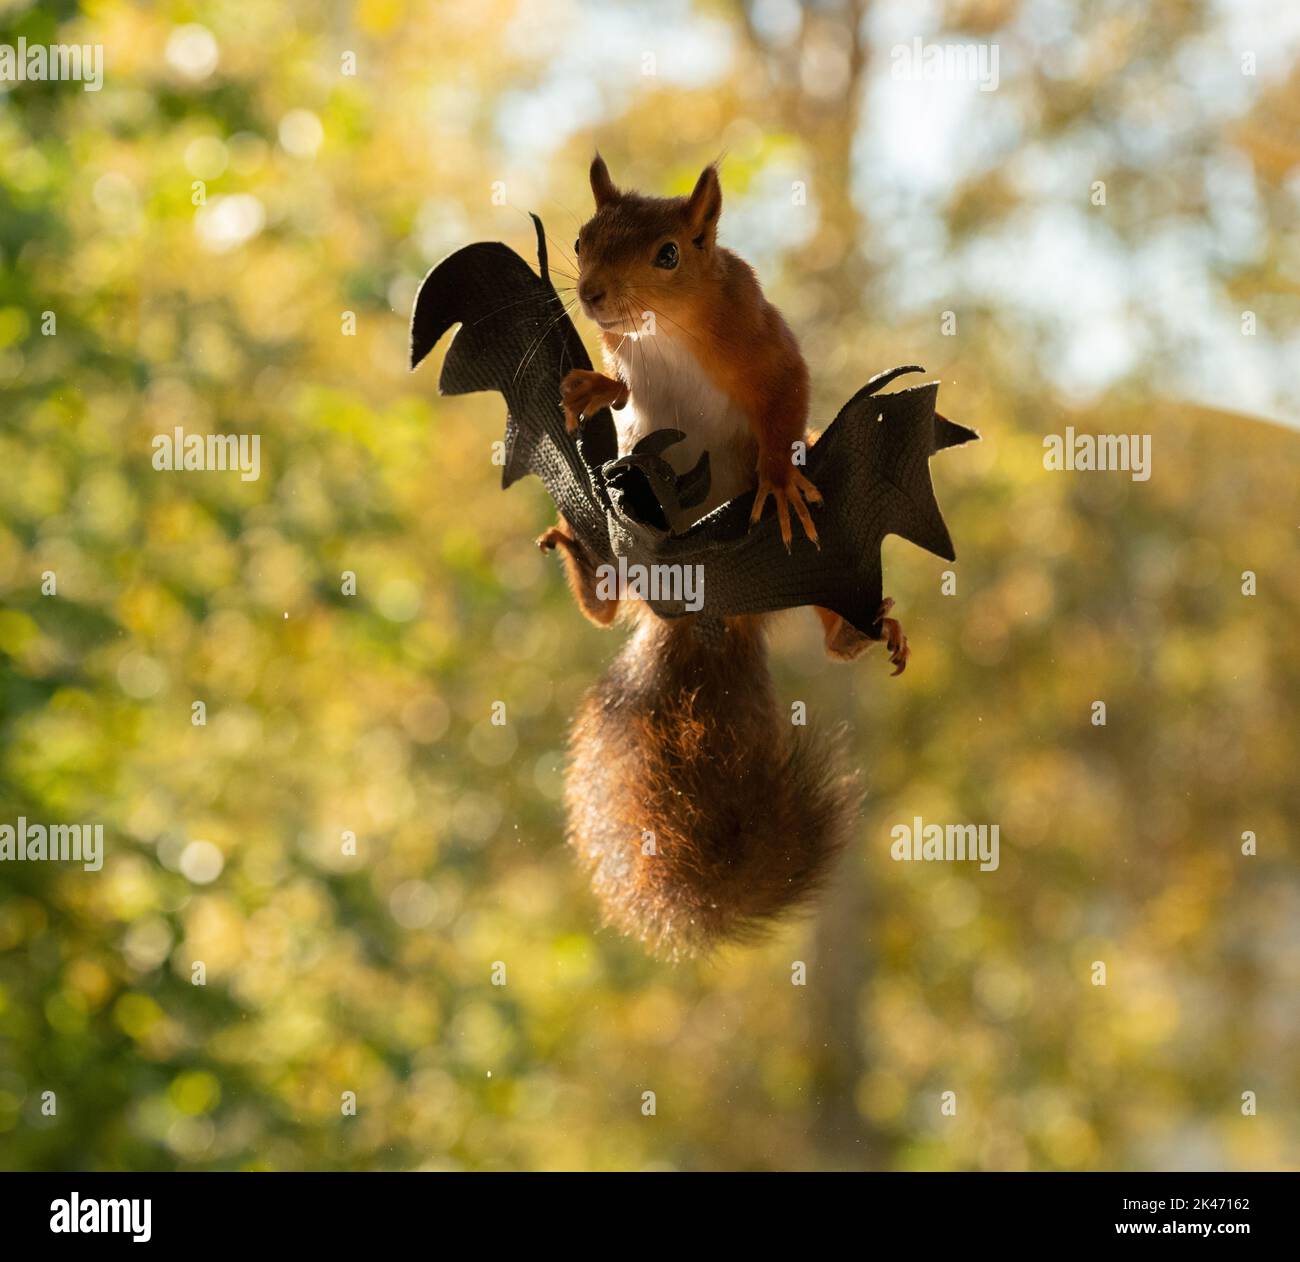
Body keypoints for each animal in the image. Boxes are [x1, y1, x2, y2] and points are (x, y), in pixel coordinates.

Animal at [538, 155, 908, 957]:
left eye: (669, 254)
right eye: (580, 240)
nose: (593, 295)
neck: (664, 333)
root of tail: (711, 610)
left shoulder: (763, 337)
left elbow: (787, 398)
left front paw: (780, 479)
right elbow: (619, 391)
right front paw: (590, 386)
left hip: (815, 560)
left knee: (830, 608)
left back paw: (858, 631)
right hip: (628, 536)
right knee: (610, 599)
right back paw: (582, 562)